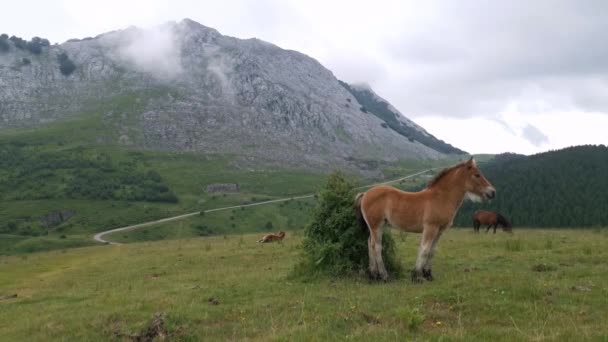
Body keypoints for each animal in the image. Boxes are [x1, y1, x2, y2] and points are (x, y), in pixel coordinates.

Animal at [356, 159, 494, 282]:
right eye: (477, 175)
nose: (492, 192)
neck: (441, 198)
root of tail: (365, 193)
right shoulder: (430, 227)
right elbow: (424, 249)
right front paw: (417, 276)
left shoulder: (439, 230)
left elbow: (432, 251)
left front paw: (428, 274)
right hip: (376, 225)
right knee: (377, 247)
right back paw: (384, 276)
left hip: (377, 226)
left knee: (370, 244)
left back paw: (373, 275)